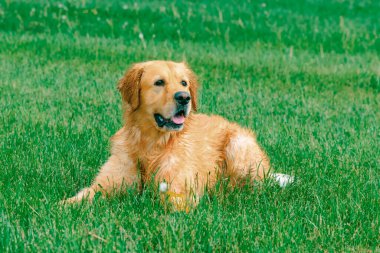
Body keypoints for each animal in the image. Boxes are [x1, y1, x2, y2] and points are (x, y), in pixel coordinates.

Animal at [63, 60, 292, 209]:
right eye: (159, 82)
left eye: (184, 83)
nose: (184, 97)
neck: (151, 144)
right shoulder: (106, 183)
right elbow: (83, 195)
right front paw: (64, 206)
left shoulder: (178, 190)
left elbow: (170, 203)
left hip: (238, 146)